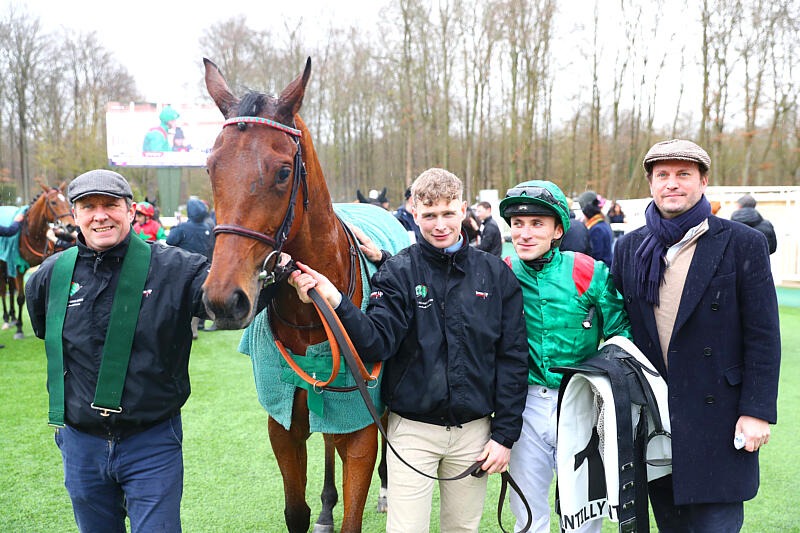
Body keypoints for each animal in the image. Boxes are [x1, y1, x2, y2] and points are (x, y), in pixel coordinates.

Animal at [0, 183, 75, 338]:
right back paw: (6, 318)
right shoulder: (18, 267)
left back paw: (12, 317)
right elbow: (20, 298)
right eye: (53, 202)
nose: (71, 226)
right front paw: (19, 329)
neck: (33, 234)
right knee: (4, 290)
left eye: (66, 201)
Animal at [201, 58, 409, 532]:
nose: (224, 299)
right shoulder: (283, 426)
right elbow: (295, 509)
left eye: (282, 171)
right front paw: (322, 508)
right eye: (211, 167)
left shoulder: (361, 426)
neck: (313, 314)